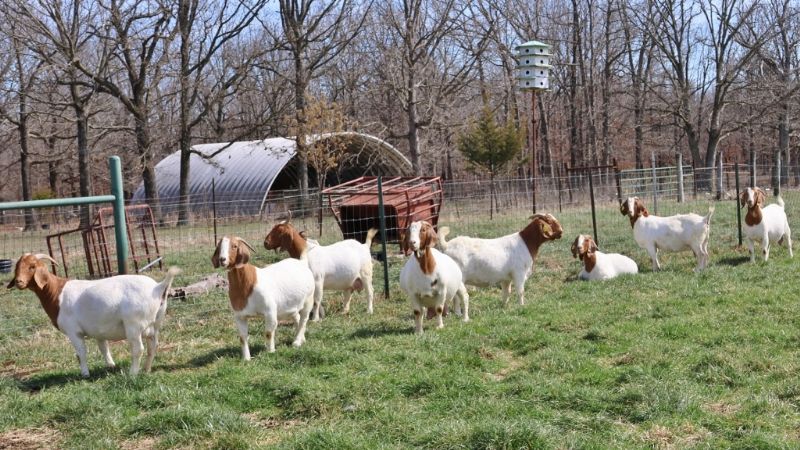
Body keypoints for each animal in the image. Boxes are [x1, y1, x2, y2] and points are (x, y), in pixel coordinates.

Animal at [7, 253, 179, 377]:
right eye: (17, 267)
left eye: (32, 266)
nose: (19, 282)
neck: (56, 292)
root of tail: (158, 287)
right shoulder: (99, 330)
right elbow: (104, 348)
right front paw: (111, 366)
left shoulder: (73, 331)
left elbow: (81, 353)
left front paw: (85, 374)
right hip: (155, 324)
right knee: (153, 346)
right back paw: (146, 370)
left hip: (134, 325)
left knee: (138, 349)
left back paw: (132, 374)